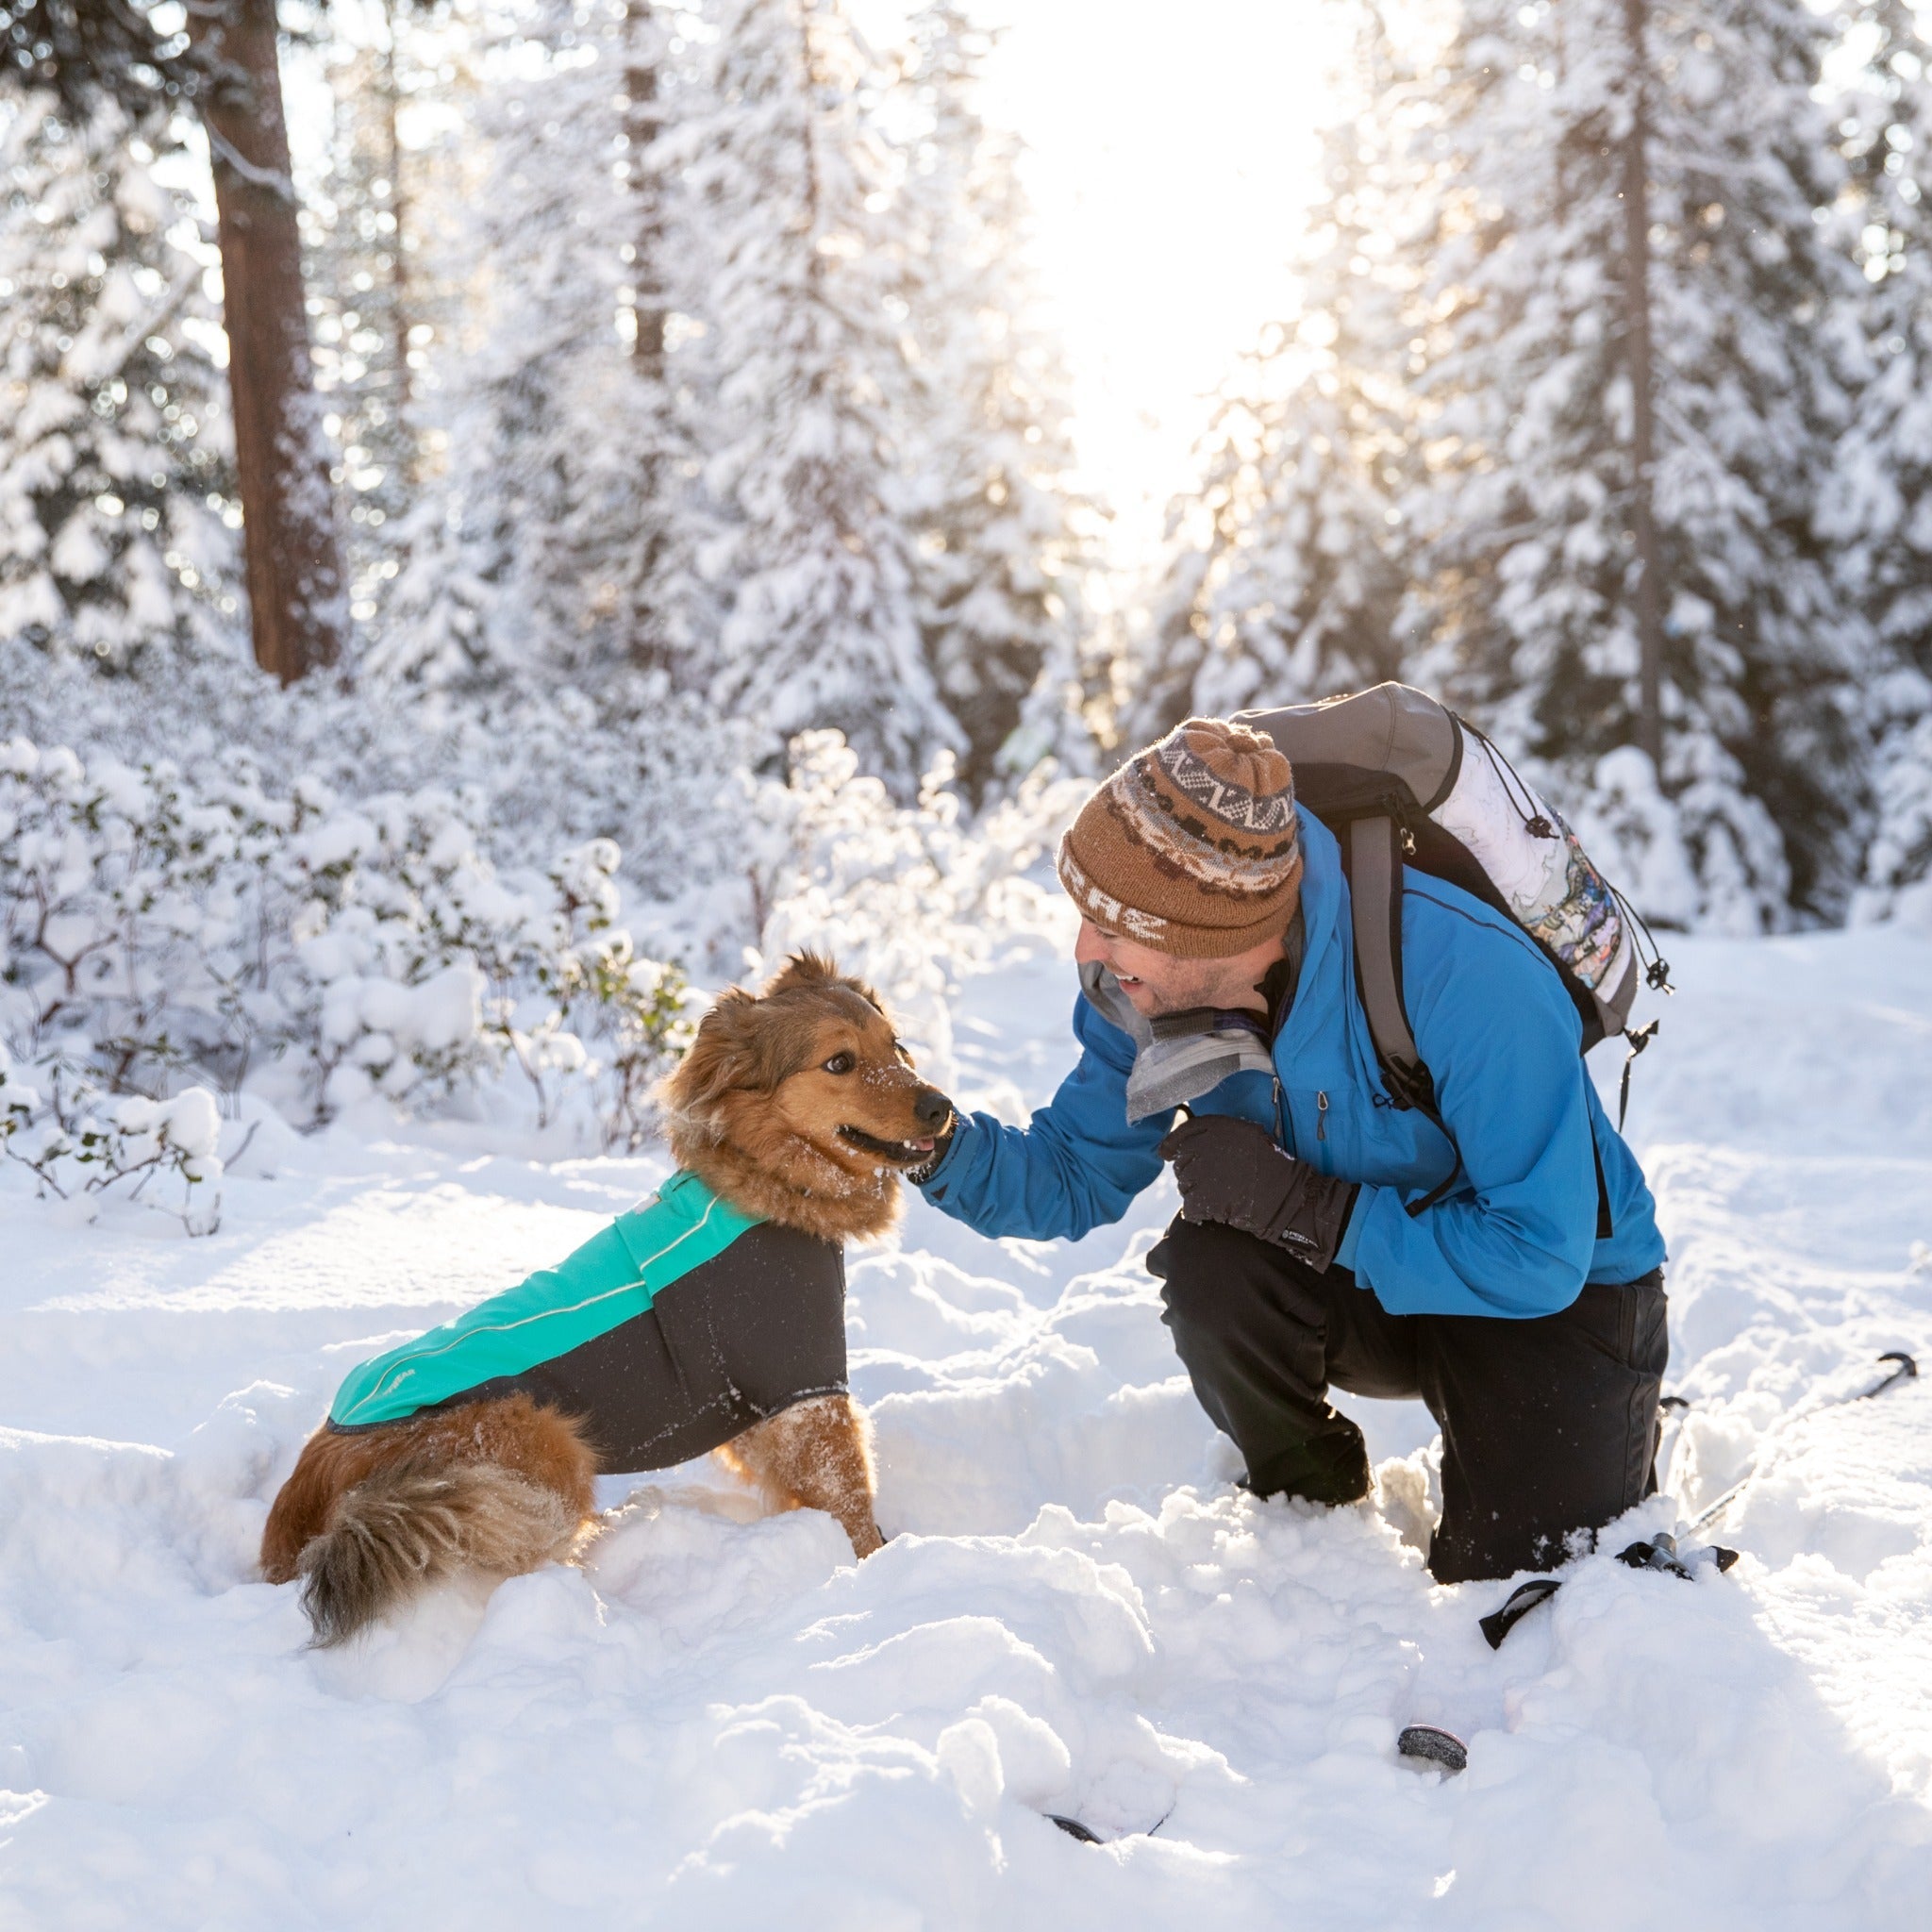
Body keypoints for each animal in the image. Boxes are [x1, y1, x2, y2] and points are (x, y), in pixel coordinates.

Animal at [260, 950, 954, 1645]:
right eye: (839, 1062)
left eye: (896, 1045)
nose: (942, 1108)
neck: (767, 1179)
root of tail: (306, 1493)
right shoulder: (805, 1392)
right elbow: (848, 1497)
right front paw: (872, 1568)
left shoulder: (765, 1410)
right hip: (538, 1446)